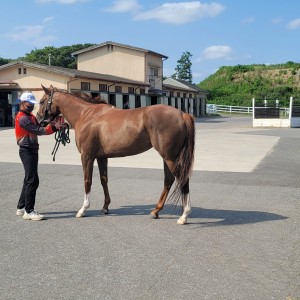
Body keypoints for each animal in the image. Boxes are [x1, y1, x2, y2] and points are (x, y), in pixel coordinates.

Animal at [36, 85, 196, 224]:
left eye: (42, 101)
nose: (38, 120)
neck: (86, 115)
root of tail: (182, 114)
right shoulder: (101, 157)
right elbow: (103, 180)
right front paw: (105, 207)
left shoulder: (87, 156)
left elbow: (88, 181)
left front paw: (83, 209)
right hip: (167, 157)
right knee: (168, 180)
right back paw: (156, 211)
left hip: (170, 158)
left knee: (182, 179)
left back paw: (184, 216)